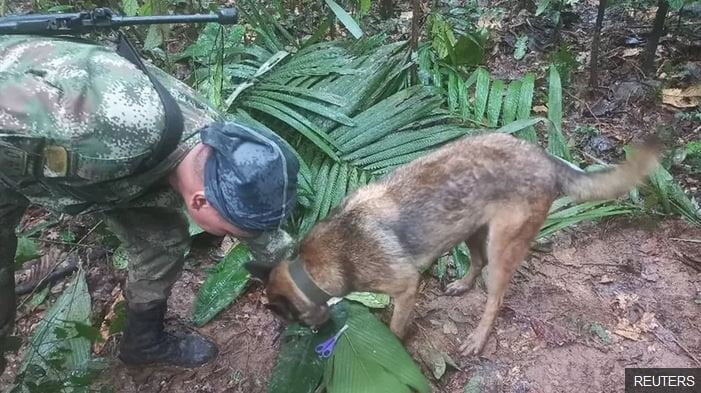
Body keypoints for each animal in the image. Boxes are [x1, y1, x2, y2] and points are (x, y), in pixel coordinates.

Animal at [253, 132, 660, 356]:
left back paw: (478, 338)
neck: (313, 266)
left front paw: (392, 345)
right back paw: (462, 285)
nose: (313, 336)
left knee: (495, 297)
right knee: (475, 262)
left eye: (293, 319)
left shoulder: (405, 287)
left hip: (501, 247)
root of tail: (545, 157)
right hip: (470, 229)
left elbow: (395, 328)